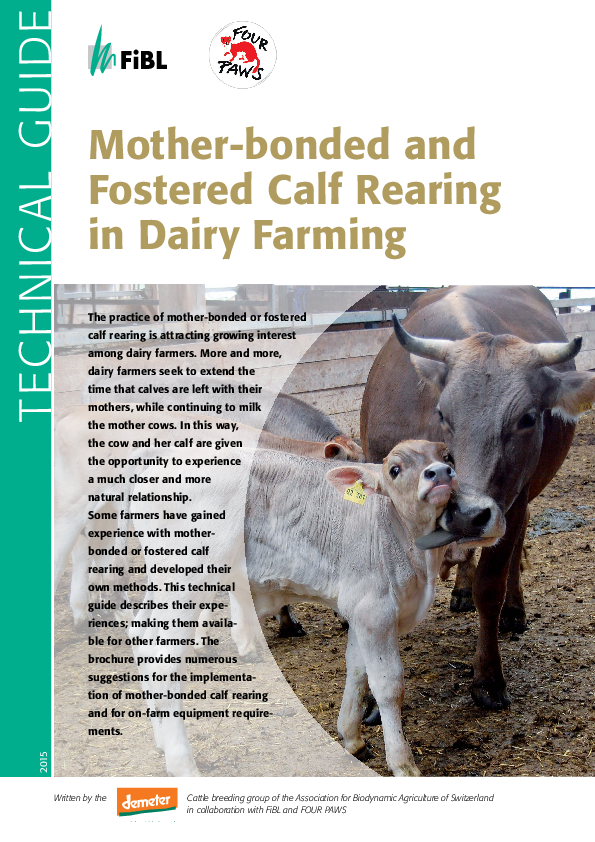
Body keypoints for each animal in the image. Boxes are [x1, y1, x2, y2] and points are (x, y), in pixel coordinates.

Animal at [116, 439, 495, 777]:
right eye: (395, 469)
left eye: (448, 456)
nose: (440, 473)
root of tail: (164, 453)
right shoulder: (375, 611)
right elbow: (388, 686)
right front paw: (403, 764)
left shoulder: (359, 611)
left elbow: (357, 671)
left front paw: (352, 739)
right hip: (187, 578)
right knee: (163, 662)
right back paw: (182, 763)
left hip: (163, 582)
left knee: (140, 636)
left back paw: (160, 741)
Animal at [361, 285, 595, 710]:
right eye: (442, 413)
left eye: (528, 418)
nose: (467, 514)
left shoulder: (509, 505)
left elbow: (492, 585)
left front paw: (488, 677)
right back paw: (462, 588)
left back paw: (513, 610)